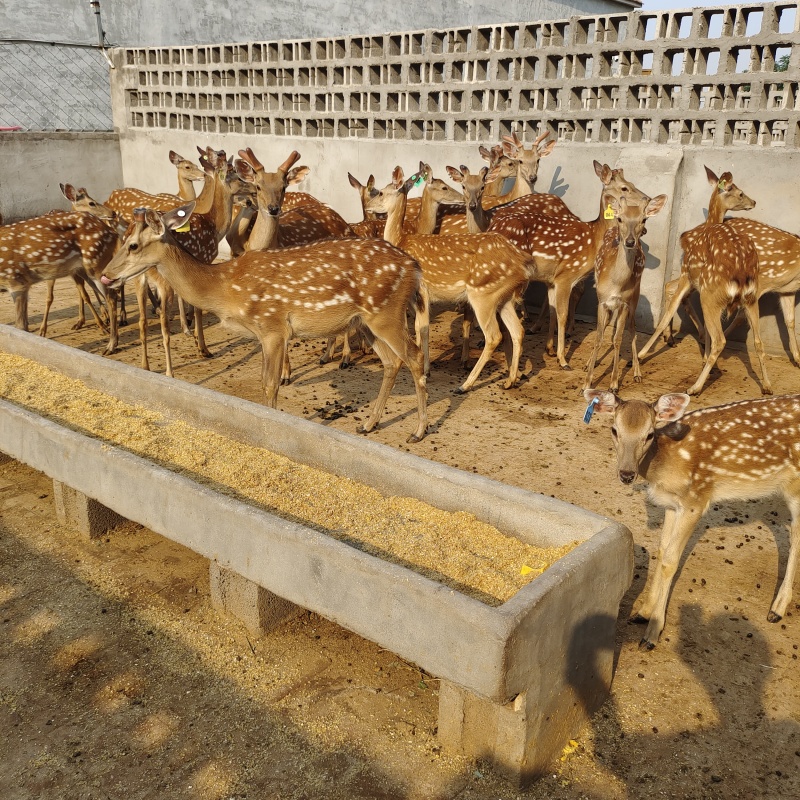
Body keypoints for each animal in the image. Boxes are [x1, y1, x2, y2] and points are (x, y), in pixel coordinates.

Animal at [100, 203, 429, 443]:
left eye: (132, 245)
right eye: (123, 240)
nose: (106, 275)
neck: (225, 287)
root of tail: (414, 267)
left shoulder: (273, 326)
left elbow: (270, 384)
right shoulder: (261, 333)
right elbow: (263, 381)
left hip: (386, 313)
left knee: (413, 356)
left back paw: (417, 431)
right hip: (365, 321)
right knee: (391, 361)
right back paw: (368, 424)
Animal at [366, 166, 535, 391]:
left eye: (382, 192)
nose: (368, 206)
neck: (402, 241)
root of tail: (522, 262)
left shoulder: (421, 291)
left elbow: (422, 328)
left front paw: (426, 370)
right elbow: (418, 328)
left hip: (482, 294)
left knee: (494, 336)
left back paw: (466, 385)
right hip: (503, 297)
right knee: (518, 331)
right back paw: (510, 380)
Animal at [583, 192, 668, 393]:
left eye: (643, 219)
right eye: (620, 218)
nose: (630, 241)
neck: (616, 283)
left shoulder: (623, 304)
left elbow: (618, 339)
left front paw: (614, 384)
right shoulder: (602, 301)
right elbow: (598, 337)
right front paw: (587, 382)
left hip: (635, 298)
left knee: (633, 329)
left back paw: (637, 372)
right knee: (606, 326)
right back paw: (590, 362)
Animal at [583, 388, 800, 650]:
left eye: (649, 434)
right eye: (614, 429)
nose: (626, 474)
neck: (665, 467)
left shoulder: (696, 500)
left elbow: (671, 561)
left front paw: (652, 632)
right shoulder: (671, 504)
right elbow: (662, 551)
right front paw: (642, 613)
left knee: (796, 535)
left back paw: (777, 609)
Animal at [637, 167, 772, 396]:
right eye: (740, 193)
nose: (754, 202)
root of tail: (741, 272)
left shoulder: (687, 273)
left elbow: (667, 315)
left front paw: (639, 355)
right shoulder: (694, 282)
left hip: (712, 294)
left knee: (720, 339)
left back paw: (694, 387)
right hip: (750, 298)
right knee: (758, 341)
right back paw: (768, 387)